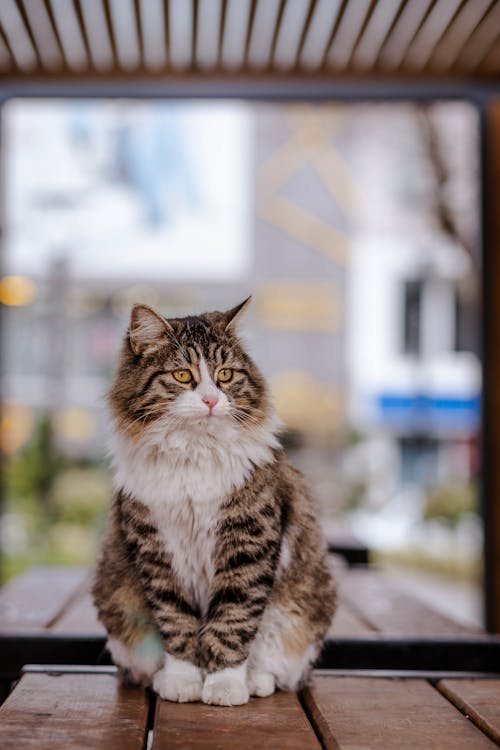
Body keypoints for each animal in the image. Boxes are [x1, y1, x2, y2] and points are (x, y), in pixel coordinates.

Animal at [94, 298, 336, 704]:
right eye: (181, 376)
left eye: (224, 374)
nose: (210, 400)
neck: (194, 455)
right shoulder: (157, 552)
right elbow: (176, 622)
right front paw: (183, 681)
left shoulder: (246, 547)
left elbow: (232, 623)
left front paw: (224, 685)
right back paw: (159, 677)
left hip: (293, 616)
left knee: (273, 663)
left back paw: (254, 682)